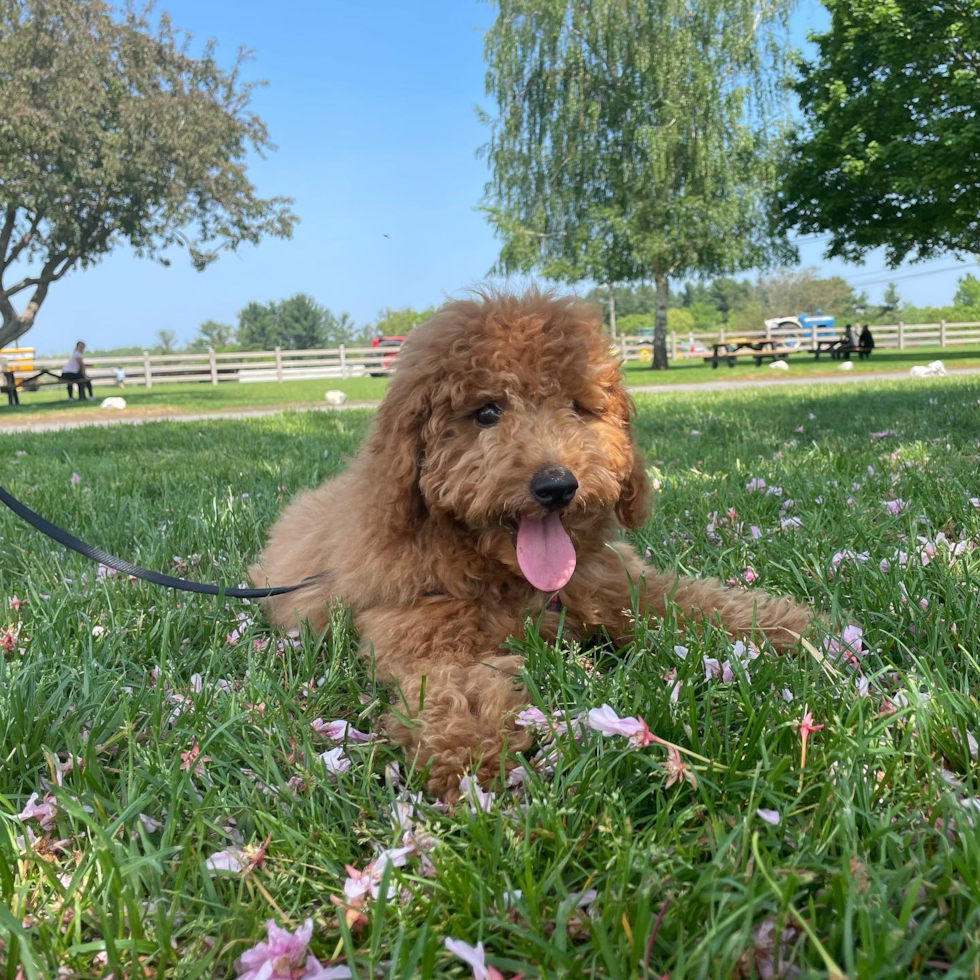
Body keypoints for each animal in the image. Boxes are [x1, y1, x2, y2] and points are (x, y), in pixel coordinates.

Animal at [251, 288, 812, 800]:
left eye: (578, 408)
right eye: (486, 412)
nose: (557, 486)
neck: (511, 578)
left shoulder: (617, 581)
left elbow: (690, 599)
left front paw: (785, 628)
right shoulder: (425, 635)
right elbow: (457, 687)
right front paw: (474, 760)